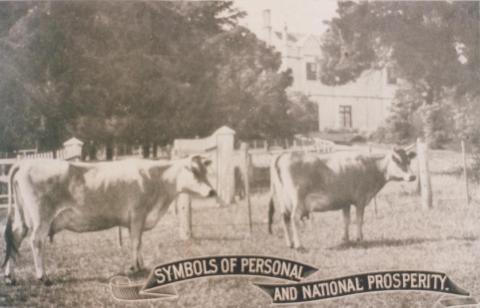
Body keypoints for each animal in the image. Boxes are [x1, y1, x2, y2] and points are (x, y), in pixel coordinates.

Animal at [1, 155, 216, 286]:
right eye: (194, 172)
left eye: (205, 172)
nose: (212, 191)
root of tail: (25, 163)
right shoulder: (138, 213)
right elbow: (136, 242)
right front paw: (134, 268)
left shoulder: (133, 220)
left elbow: (137, 242)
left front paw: (141, 265)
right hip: (41, 217)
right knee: (36, 242)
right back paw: (43, 277)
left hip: (23, 217)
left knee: (15, 238)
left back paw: (10, 277)